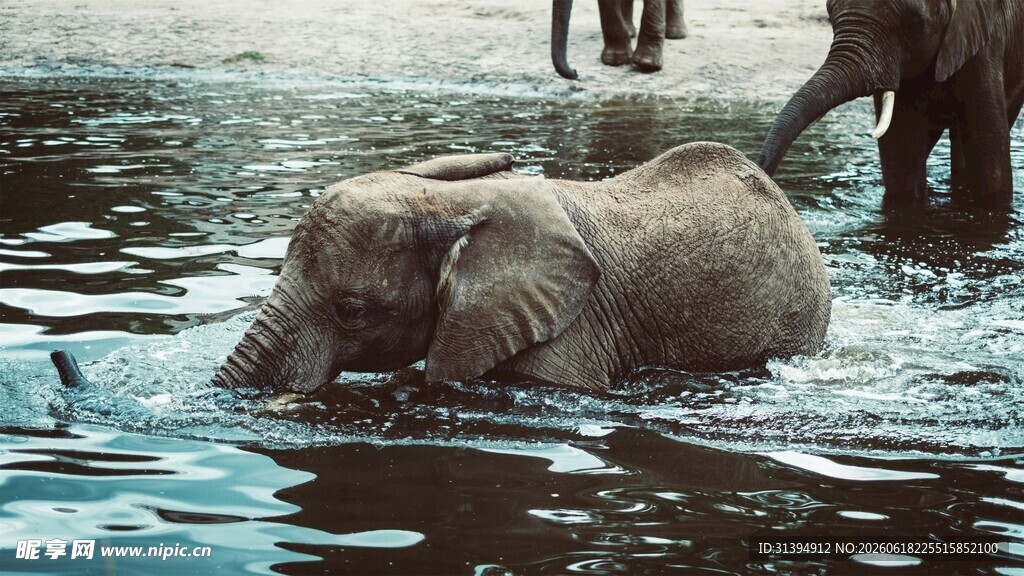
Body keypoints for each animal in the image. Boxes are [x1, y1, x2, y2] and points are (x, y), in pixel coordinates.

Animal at [757, 0, 1024, 208]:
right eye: (830, 14)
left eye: (912, 22)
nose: (761, 169)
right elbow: (901, 146)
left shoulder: (982, 45)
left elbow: (987, 147)